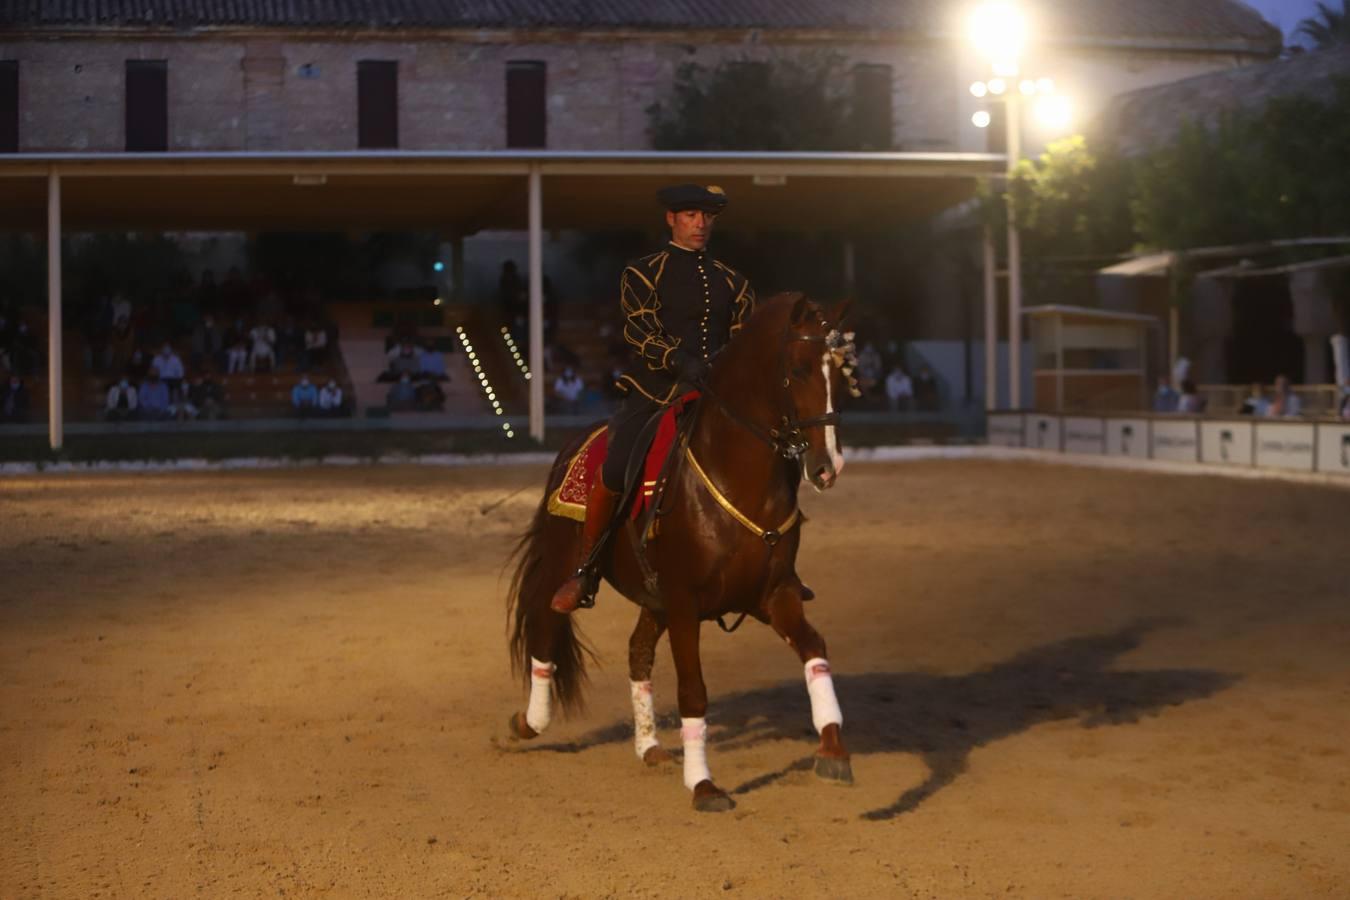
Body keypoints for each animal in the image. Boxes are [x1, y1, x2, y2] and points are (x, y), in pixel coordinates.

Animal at [507, 296, 853, 814]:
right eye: (798, 369)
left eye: (840, 370)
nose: (828, 467)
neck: (736, 476)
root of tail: (575, 444)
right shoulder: (686, 603)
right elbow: (693, 691)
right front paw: (704, 785)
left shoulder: (774, 594)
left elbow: (815, 650)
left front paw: (833, 750)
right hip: (563, 568)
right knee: (547, 629)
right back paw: (531, 722)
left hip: (654, 601)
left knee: (637, 651)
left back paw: (649, 745)